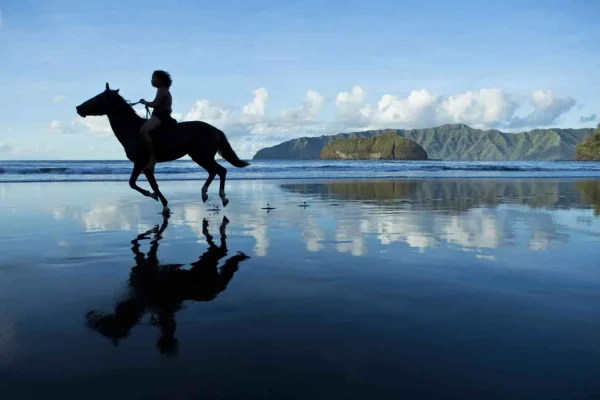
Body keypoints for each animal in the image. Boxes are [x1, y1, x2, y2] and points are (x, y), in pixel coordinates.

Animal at [76, 83, 250, 214]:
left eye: (98, 97)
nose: (78, 108)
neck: (132, 129)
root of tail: (215, 130)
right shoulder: (142, 165)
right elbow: (137, 183)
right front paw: (157, 199)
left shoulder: (142, 163)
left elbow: (143, 184)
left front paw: (160, 201)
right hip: (200, 157)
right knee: (214, 171)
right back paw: (204, 194)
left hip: (202, 157)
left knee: (221, 171)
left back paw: (222, 197)